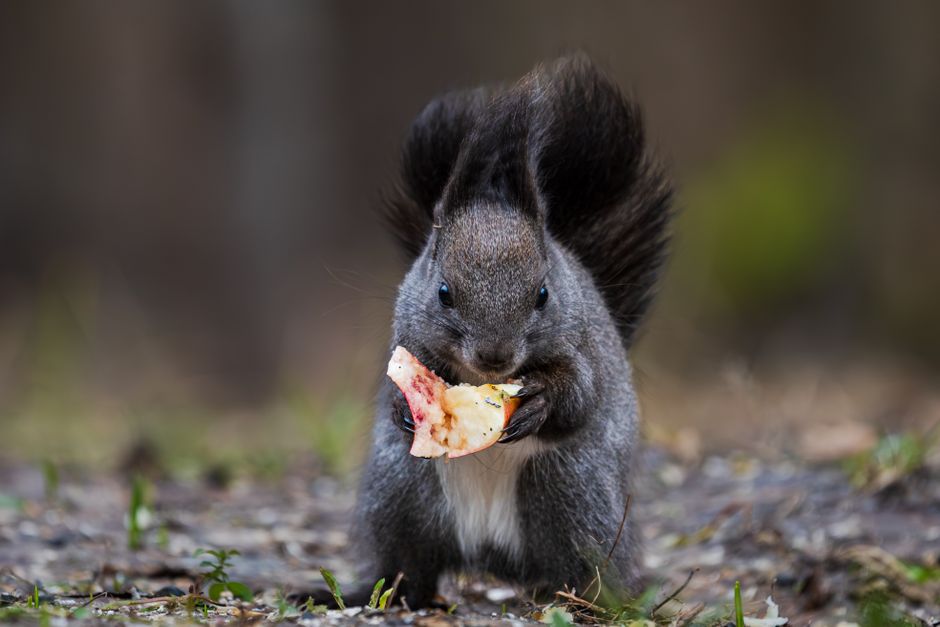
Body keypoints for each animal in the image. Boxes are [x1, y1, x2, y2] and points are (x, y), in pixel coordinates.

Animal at [353, 54, 672, 609]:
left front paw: (540, 401)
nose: (495, 357)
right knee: (409, 564)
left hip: (572, 495)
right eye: (443, 291)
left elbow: (581, 395)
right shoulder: (407, 338)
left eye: (543, 294)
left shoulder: (583, 349)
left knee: (585, 567)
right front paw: (400, 407)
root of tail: (489, 557)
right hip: (401, 495)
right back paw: (387, 593)